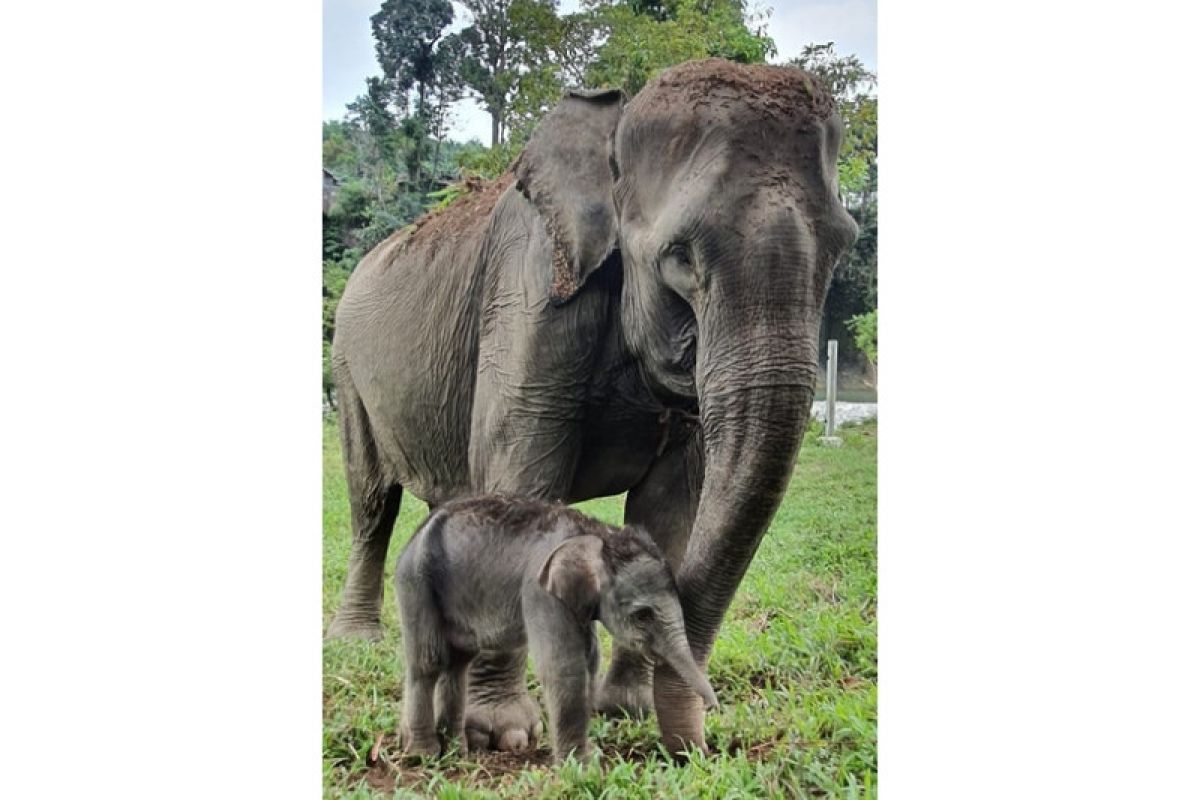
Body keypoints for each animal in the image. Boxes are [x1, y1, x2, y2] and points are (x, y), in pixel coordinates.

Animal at [393, 494, 715, 762]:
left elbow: (589, 663)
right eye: (642, 616)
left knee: (457, 662)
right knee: (429, 661)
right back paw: (424, 754)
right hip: (417, 581)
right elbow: (564, 667)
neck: (598, 534)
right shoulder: (540, 591)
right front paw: (581, 767)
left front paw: (589, 756)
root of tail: (417, 533)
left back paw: (456, 751)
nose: (713, 707)